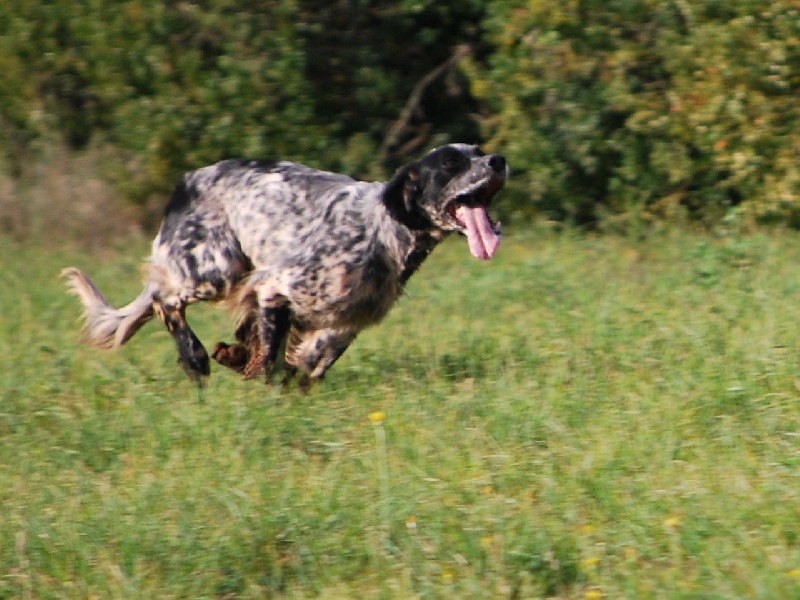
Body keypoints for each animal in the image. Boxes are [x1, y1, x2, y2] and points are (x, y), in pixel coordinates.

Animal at [62, 146, 506, 390]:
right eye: (450, 163)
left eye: (479, 149)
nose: (498, 160)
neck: (383, 229)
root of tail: (187, 180)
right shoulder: (275, 288)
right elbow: (271, 360)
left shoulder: (342, 323)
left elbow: (309, 361)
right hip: (214, 268)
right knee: (164, 298)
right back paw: (195, 357)